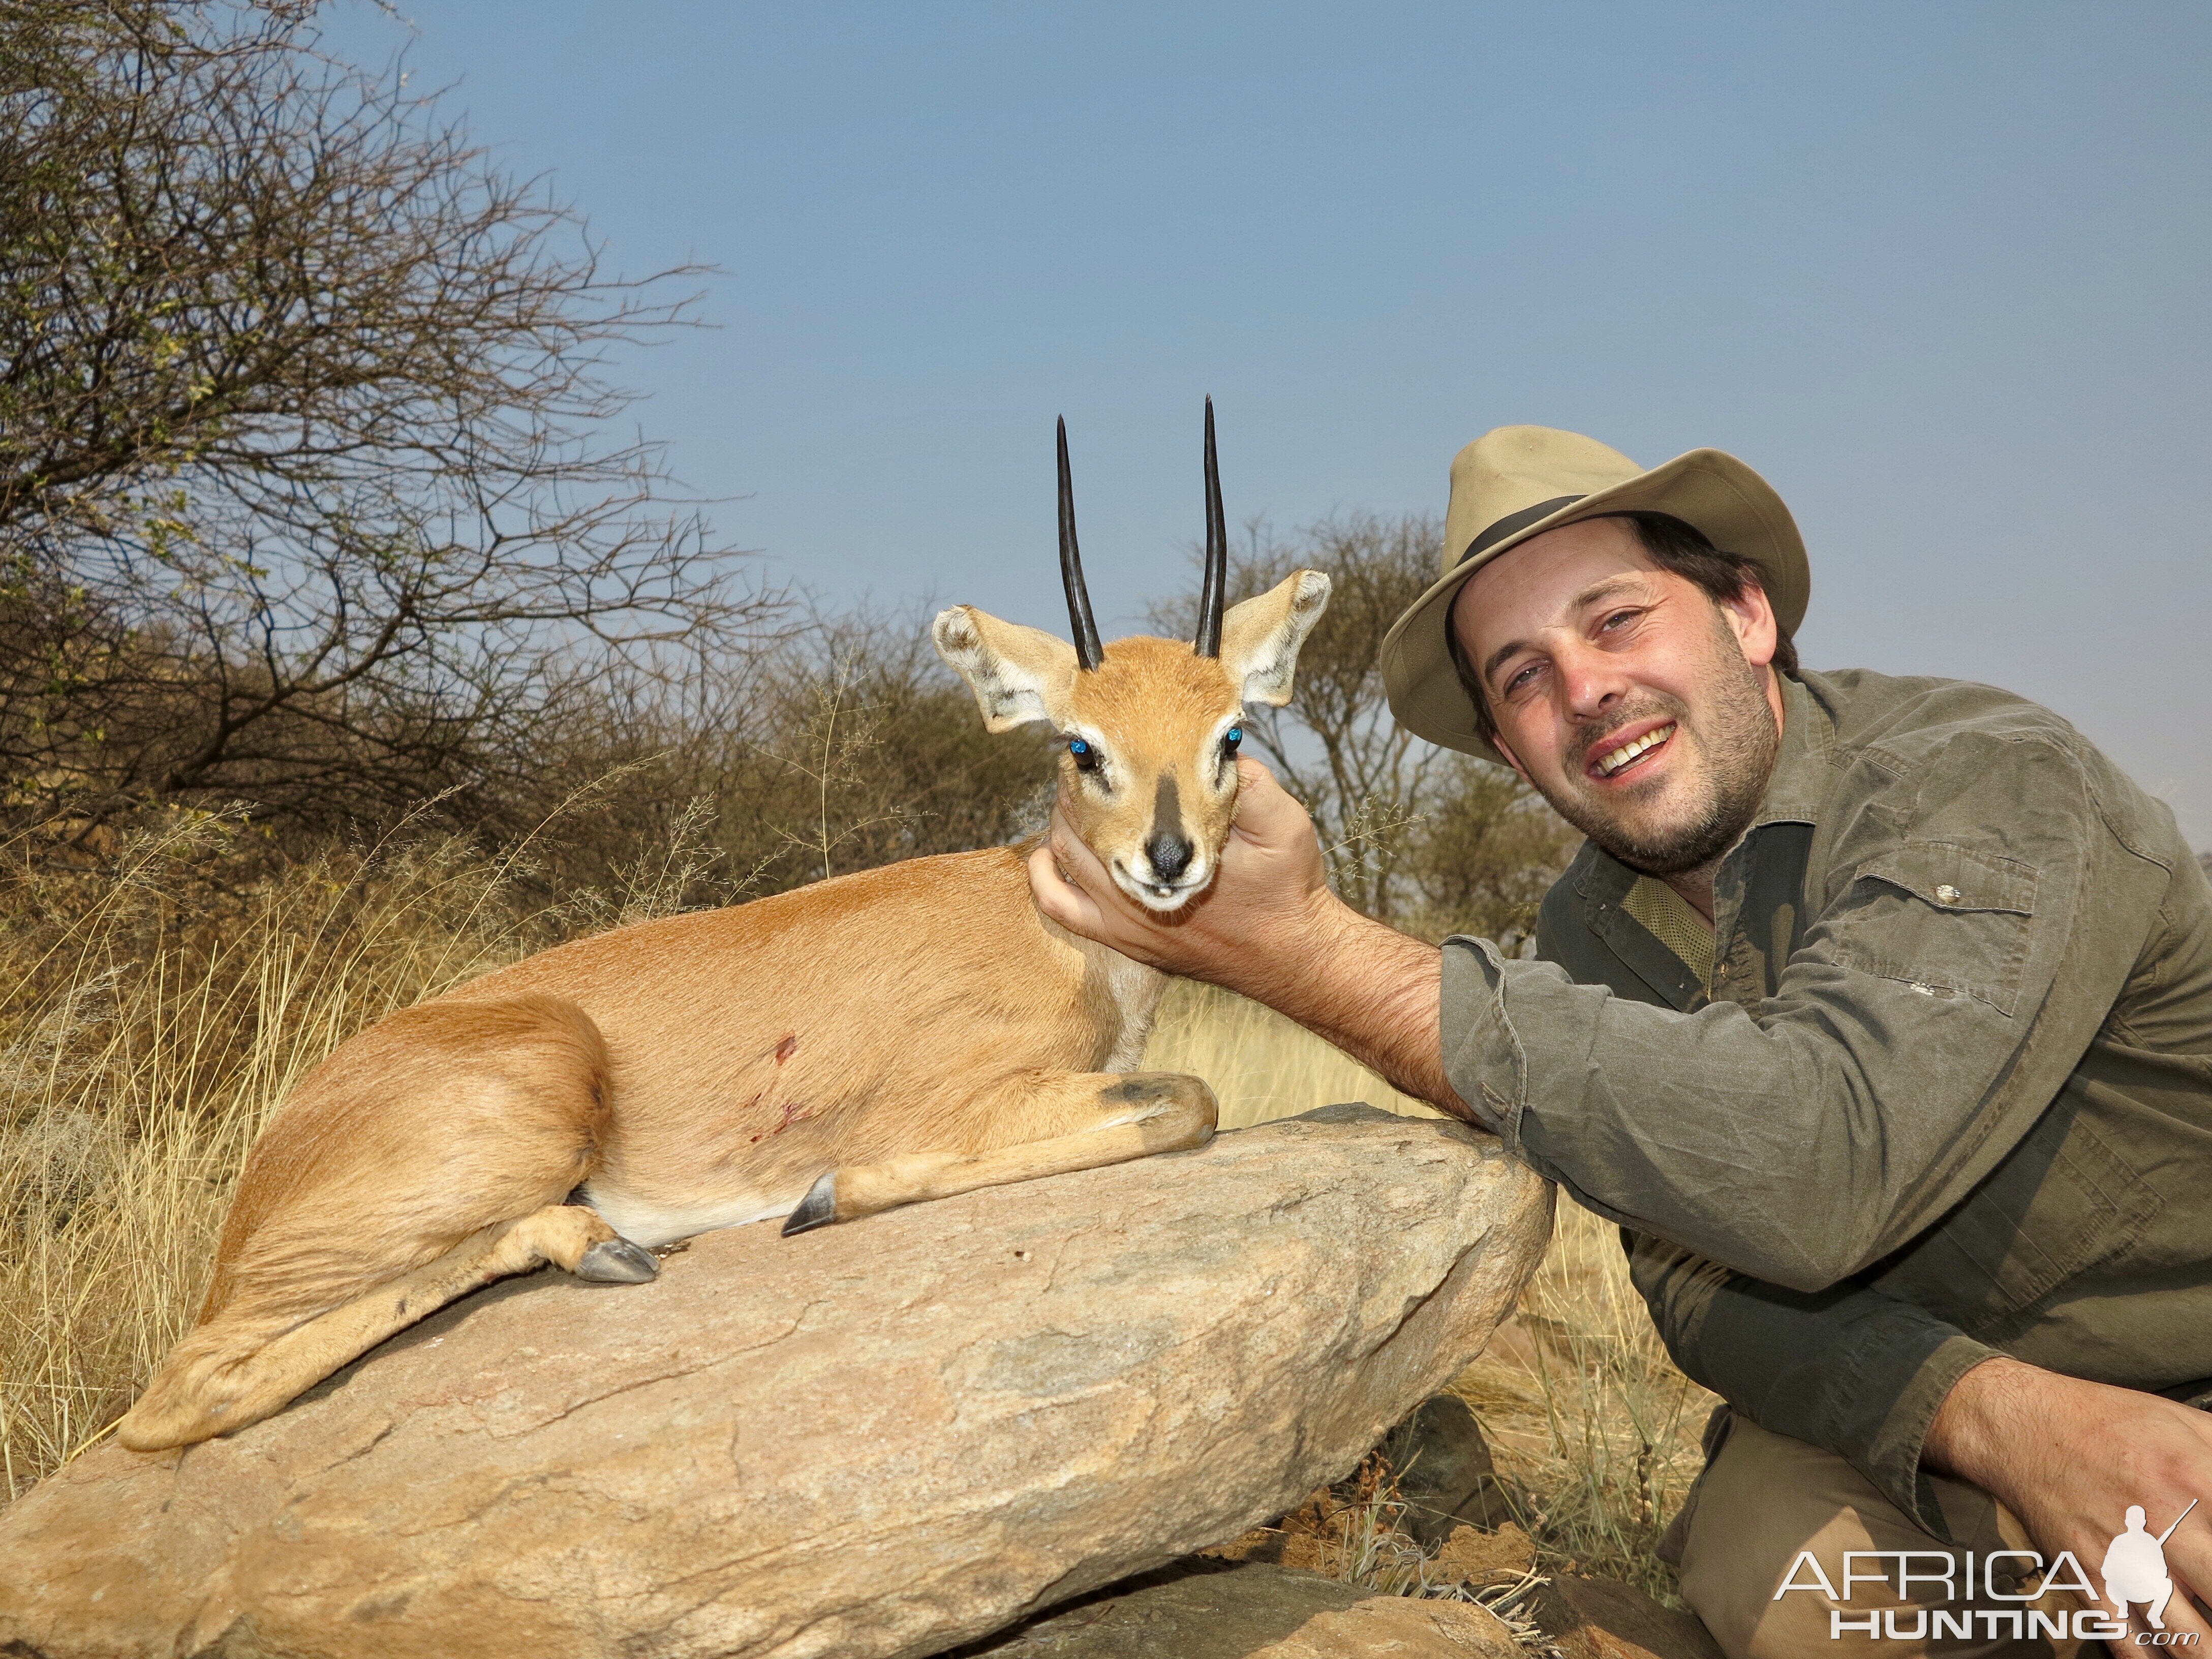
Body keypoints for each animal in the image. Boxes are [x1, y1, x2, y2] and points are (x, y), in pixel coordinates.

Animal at [116, 407, 1327, 1451]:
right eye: (1082, 746)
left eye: (1229, 735)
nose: (1169, 859)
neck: (1051, 934)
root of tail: (270, 1164)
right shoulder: (956, 1101)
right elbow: (1184, 1101)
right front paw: (825, 1196)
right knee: (172, 1398)